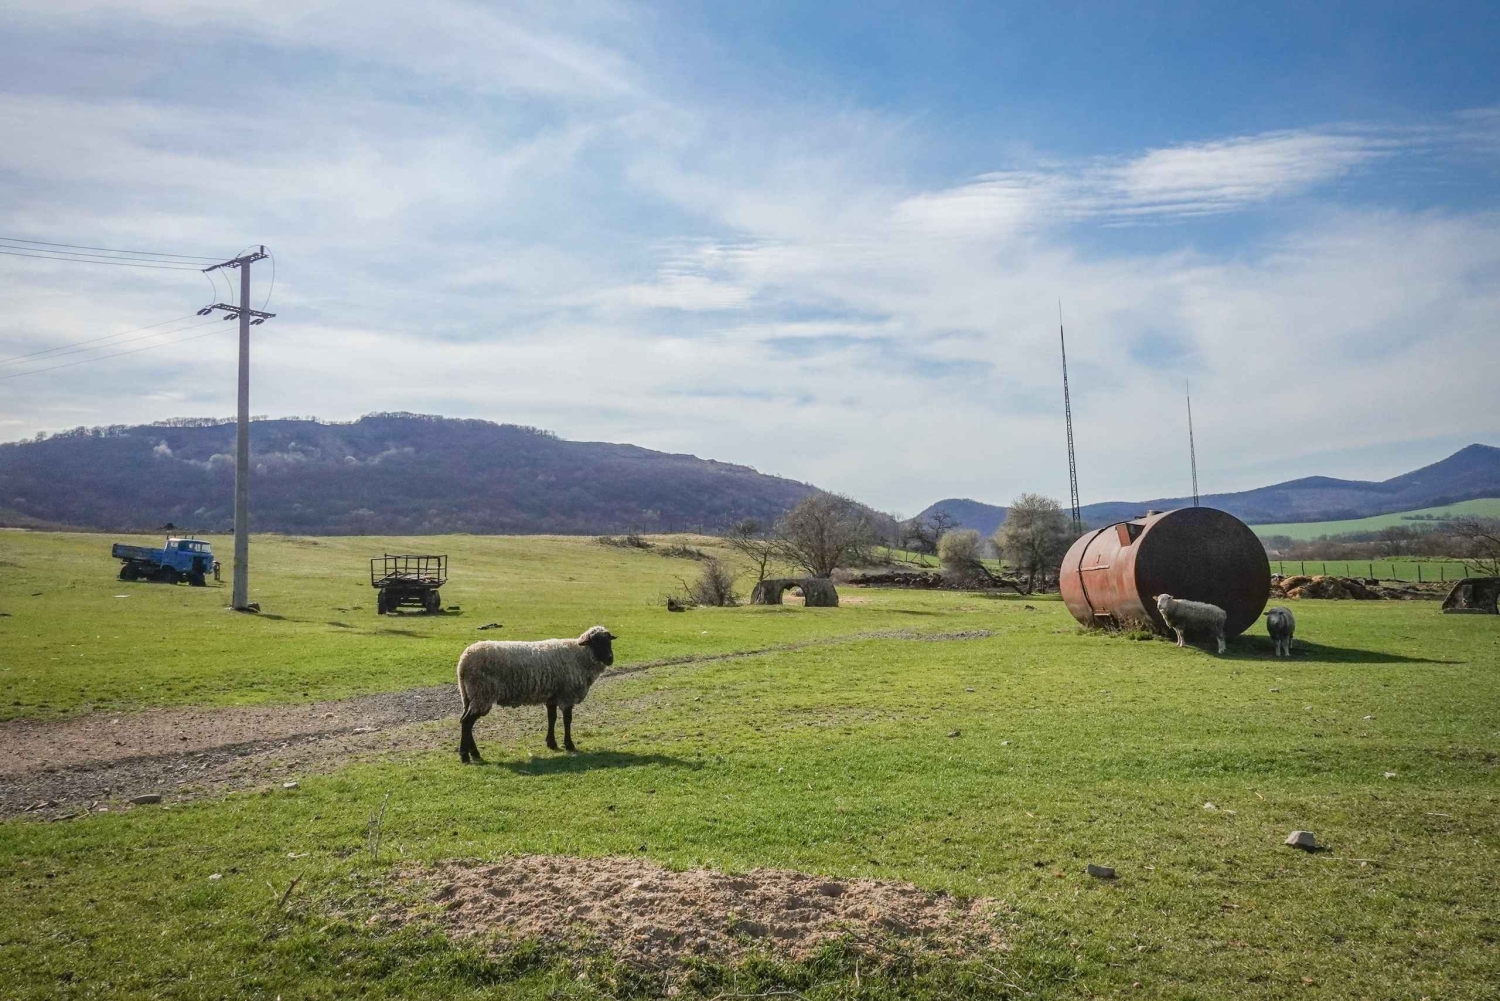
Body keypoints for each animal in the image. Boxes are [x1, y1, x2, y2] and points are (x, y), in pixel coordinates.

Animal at [455, 626, 616, 763]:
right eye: (595, 642)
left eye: (609, 640)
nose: (610, 658)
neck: (579, 655)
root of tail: (463, 662)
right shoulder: (567, 694)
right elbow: (567, 720)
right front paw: (569, 745)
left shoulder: (552, 695)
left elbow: (552, 718)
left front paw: (551, 743)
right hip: (482, 693)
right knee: (467, 722)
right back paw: (465, 756)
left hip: (469, 696)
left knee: (465, 721)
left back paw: (474, 753)